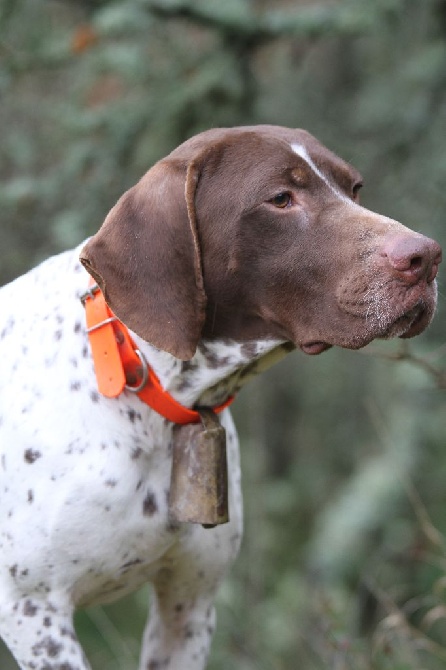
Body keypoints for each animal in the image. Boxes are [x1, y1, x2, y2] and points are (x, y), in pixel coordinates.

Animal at [0, 127, 440, 670]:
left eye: (354, 188)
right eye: (280, 199)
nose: (426, 256)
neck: (149, 388)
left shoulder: (189, 603)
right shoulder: (34, 610)